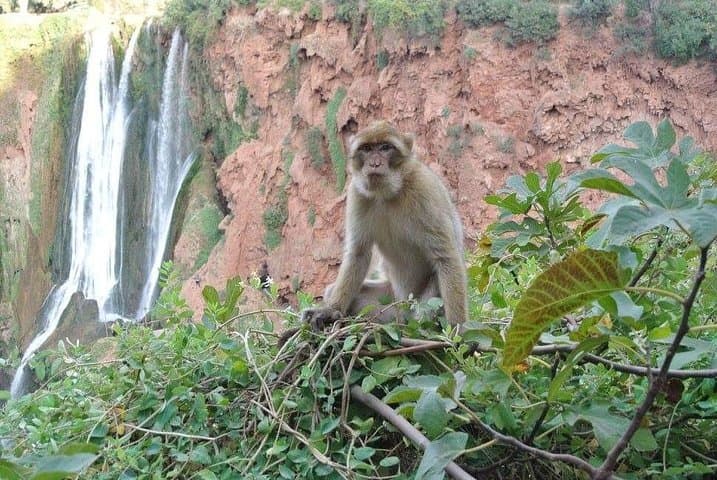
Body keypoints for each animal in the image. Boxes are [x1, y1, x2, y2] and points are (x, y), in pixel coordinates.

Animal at [301, 120, 468, 330]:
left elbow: (446, 257)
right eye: (366, 148)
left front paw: (458, 329)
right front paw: (330, 310)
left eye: (385, 147)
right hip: (390, 303)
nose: (374, 163)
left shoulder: (424, 189)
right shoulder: (358, 193)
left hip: (419, 305)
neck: (388, 193)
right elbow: (359, 253)